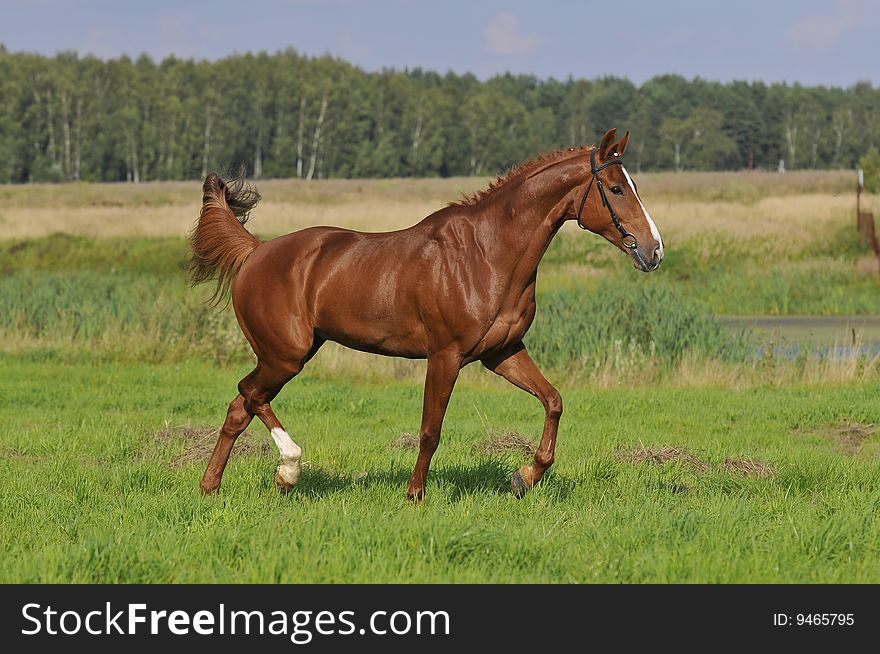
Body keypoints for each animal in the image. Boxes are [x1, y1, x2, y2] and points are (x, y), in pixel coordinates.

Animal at [191, 131, 660, 504]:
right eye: (616, 189)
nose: (654, 251)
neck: (488, 254)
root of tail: (255, 251)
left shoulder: (503, 352)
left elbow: (554, 401)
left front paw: (525, 477)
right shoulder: (445, 356)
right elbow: (430, 430)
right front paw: (415, 494)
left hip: (289, 355)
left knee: (239, 407)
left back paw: (212, 486)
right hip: (285, 356)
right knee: (249, 394)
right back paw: (288, 469)